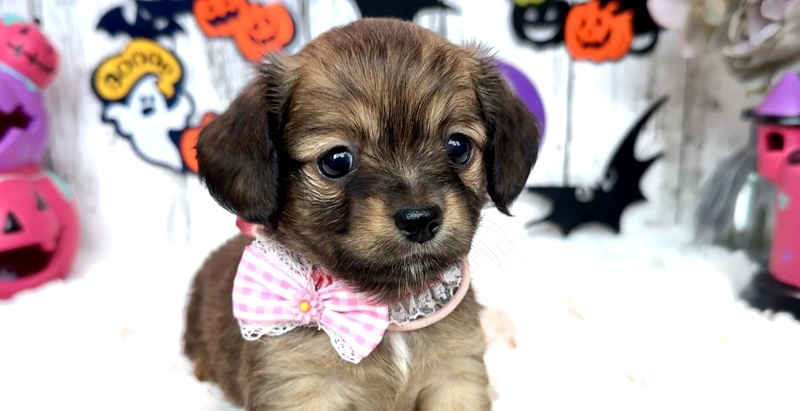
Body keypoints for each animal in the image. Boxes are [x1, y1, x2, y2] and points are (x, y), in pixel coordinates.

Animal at [182, 18, 539, 410]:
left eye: (458, 146)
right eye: (336, 161)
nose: (420, 219)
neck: (391, 313)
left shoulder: (456, 375)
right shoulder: (299, 387)